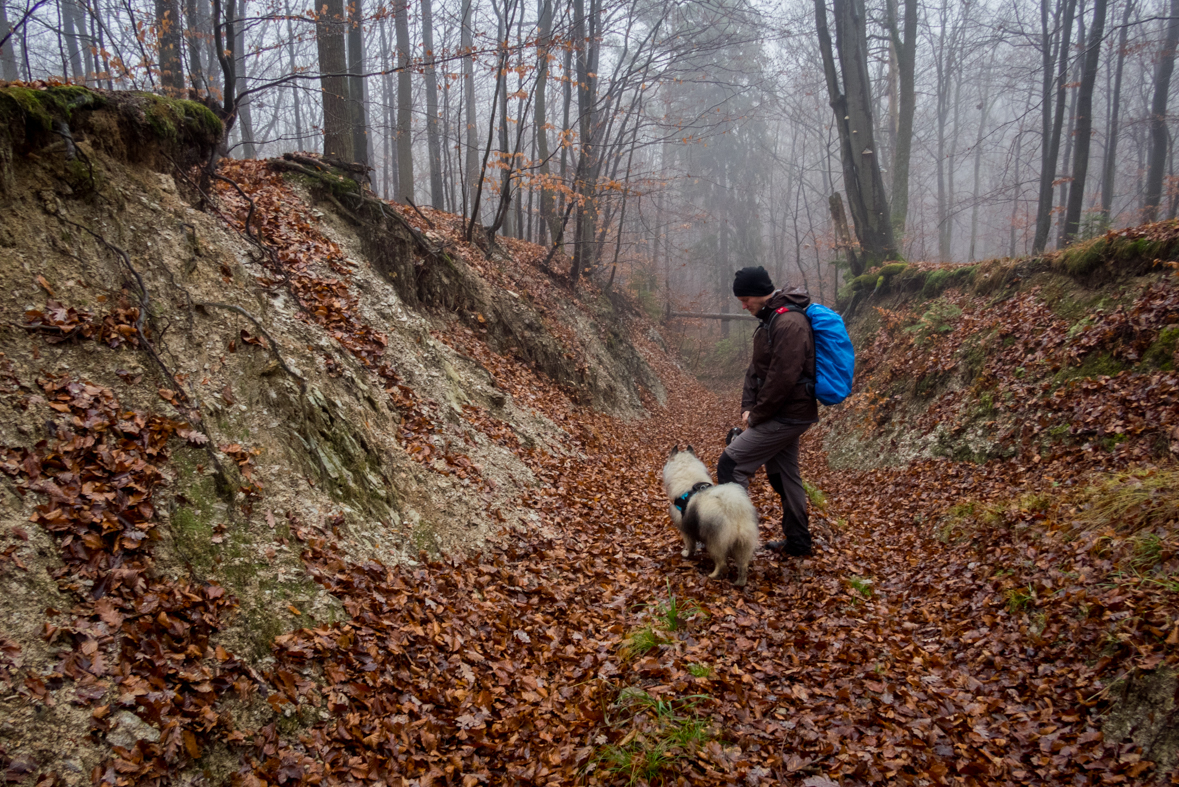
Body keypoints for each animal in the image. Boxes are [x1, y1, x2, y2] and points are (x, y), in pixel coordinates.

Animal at [660, 445, 759, 586]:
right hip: (743, 545)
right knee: (743, 566)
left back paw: (713, 575)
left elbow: (690, 546)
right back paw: (739, 583)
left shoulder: (686, 531)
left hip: (715, 543)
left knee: (721, 562)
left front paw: (686, 554)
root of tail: (733, 511)